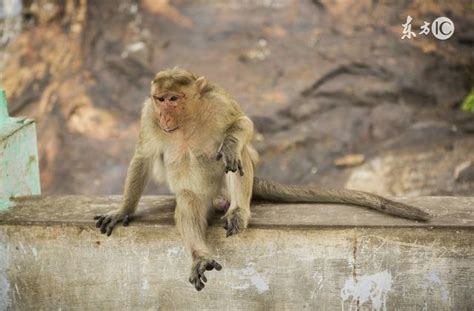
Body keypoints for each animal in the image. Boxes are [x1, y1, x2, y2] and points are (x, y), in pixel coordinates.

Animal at [93, 67, 434, 292]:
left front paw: (231, 142)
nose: (164, 114)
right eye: (159, 99)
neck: (188, 118)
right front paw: (123, 210)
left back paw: (239, 211)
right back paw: (201, 255)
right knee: (188, 200)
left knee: (239, 159)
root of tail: (220, 201)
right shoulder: (147, 116)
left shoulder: (218, 102)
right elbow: (143, 157)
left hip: (229, 191)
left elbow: (242, 125)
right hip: (203, 198)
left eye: (173, 98)